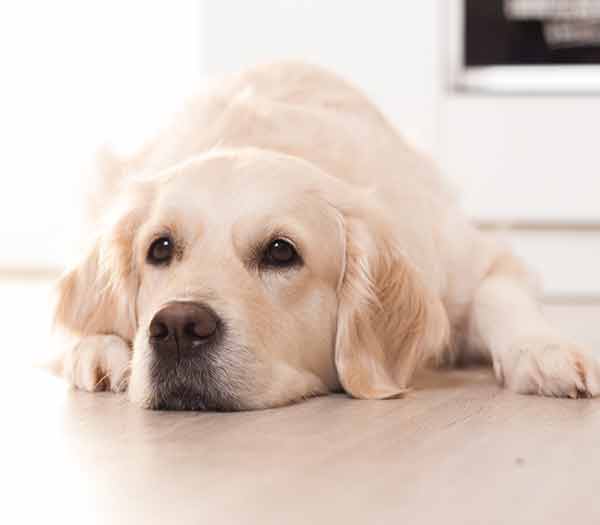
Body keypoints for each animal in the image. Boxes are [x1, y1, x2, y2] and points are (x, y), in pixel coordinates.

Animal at [54, 59, 596, 408]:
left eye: (281, 252)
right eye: (160, 247)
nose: (179, 328)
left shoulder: (474, 258)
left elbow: (498, 295)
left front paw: (543, 352)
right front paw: (101, 347)